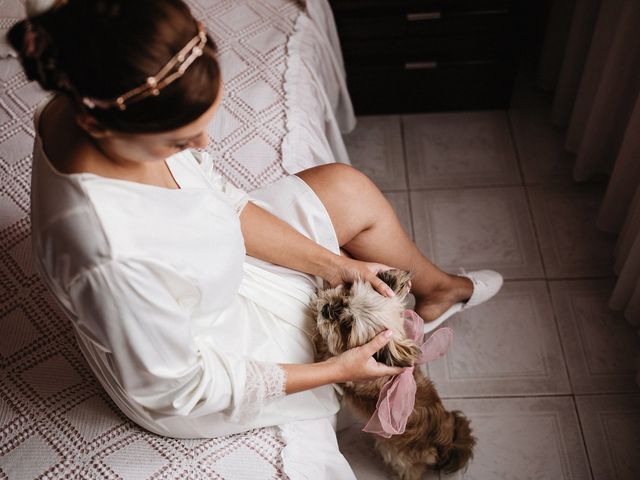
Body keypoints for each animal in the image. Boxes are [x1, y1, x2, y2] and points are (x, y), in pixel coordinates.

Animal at [310, 270, 476, 480]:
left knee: (410, 470)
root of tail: (445, 436)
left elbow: (326, 350)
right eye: (347, 294)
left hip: (396, 453)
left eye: (346, 326)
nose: (327, 309)